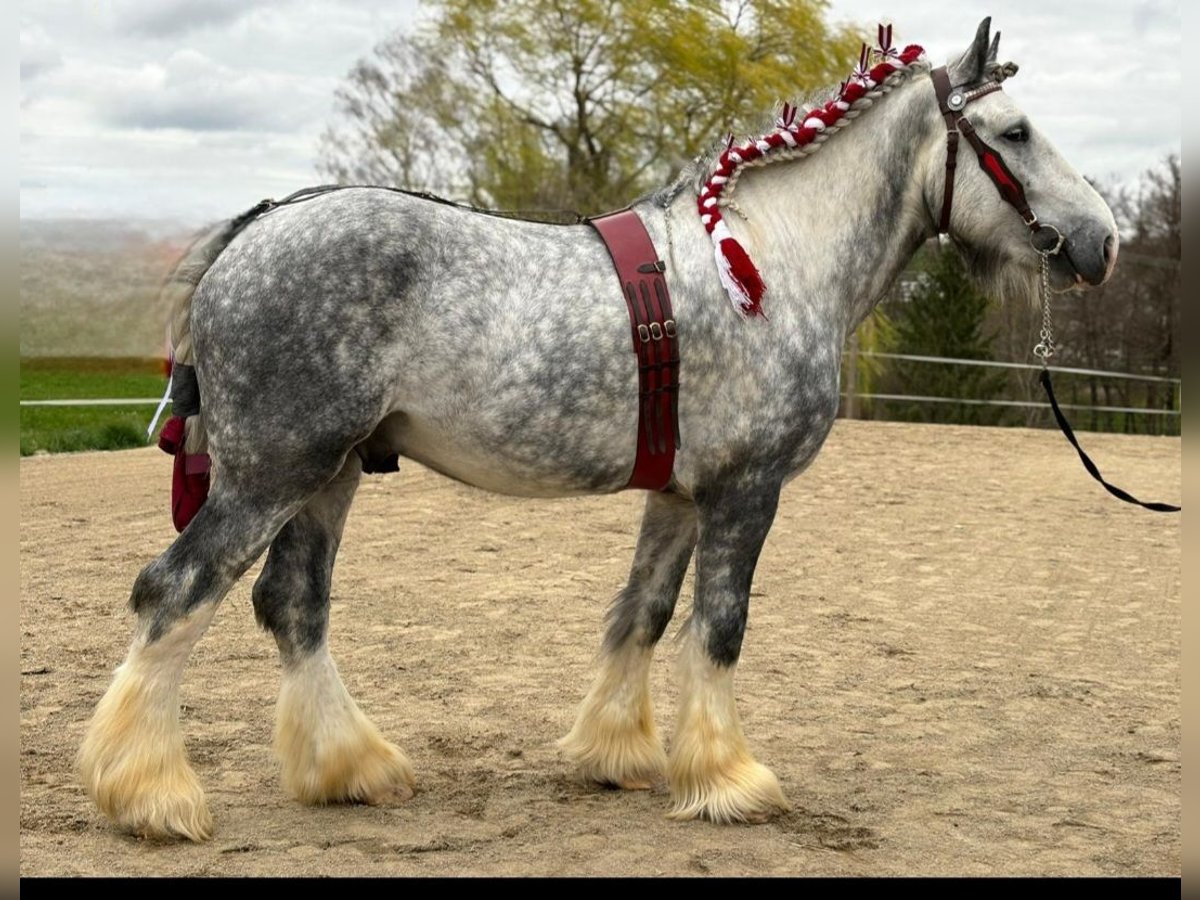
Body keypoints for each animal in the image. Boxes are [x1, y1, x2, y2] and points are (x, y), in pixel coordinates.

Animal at [79, 17, 1118, 844]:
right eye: (1015, 132)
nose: (1102, 240)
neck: (773, 260)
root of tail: (251, 235)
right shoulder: (746, 490)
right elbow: (720, 627)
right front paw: (731, 780)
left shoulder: (681, 493)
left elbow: (644, 613)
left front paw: (619, 753)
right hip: (271, 475)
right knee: (176, 592)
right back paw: (150, 795)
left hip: (326, 477)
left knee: (292, 606)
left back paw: (350, 769)